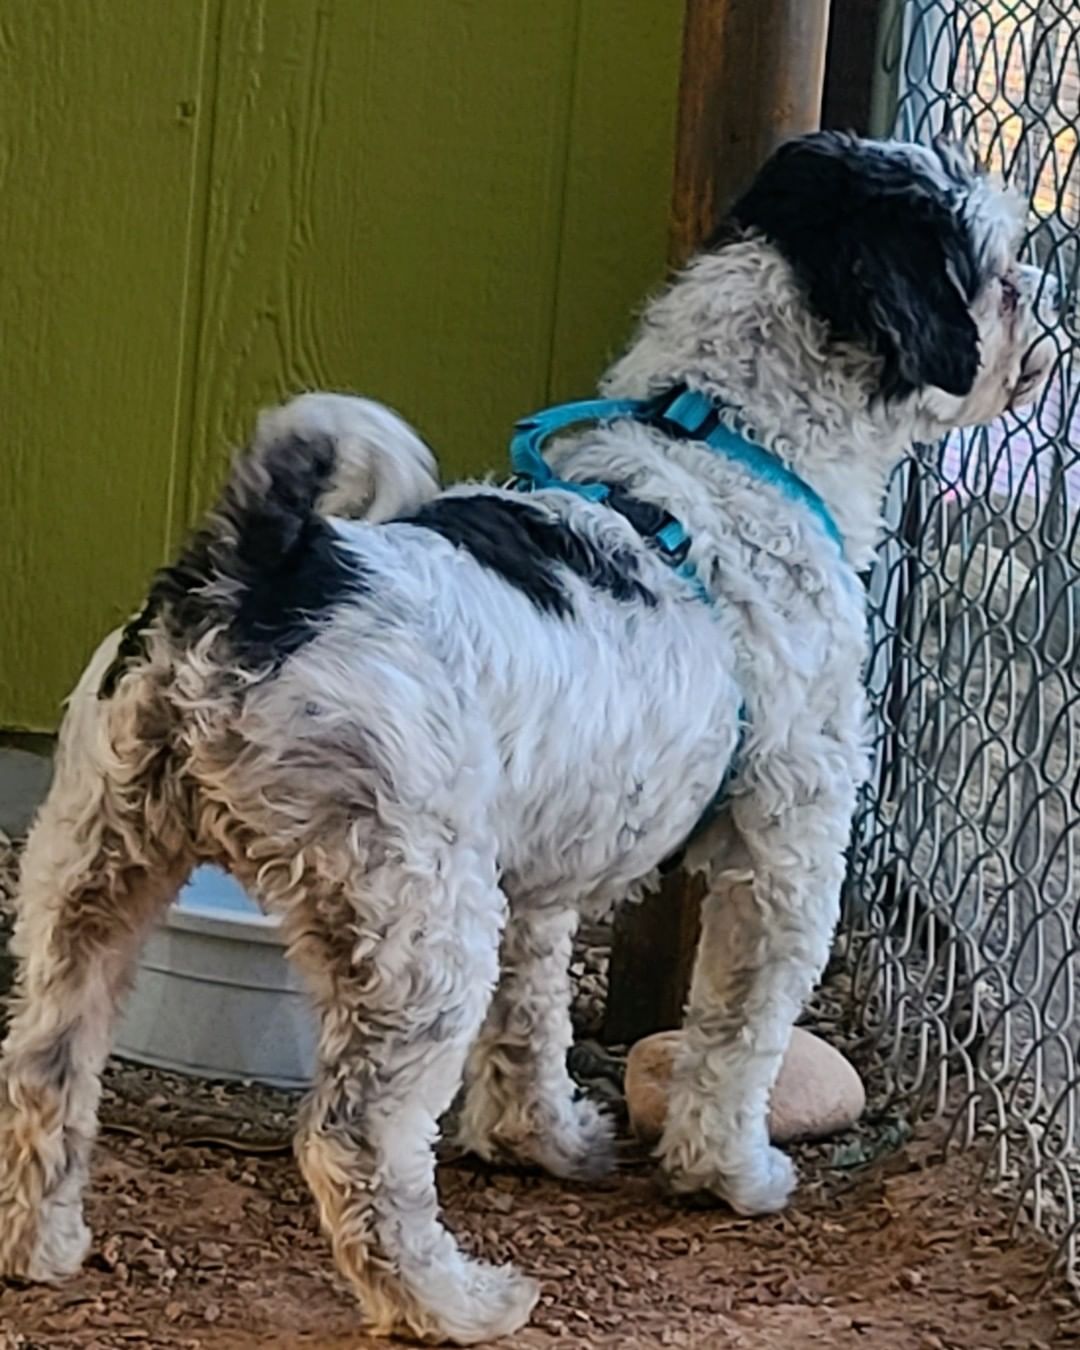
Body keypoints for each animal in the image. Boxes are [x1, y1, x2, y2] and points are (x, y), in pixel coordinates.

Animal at [0, 134, 1053, 1339]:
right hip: (416, 929)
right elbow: (739, 1033)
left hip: (90, 875)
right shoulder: (787, 853)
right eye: (999, 268)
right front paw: (730, 1175)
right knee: (353, 1141)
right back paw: (449, 1301)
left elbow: (530, 1026)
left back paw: (40, 1248)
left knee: (41, 1073)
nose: (1047, 295)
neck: (738, 449)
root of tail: (261, 575)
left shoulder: (537, 884)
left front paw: (539, 1141)